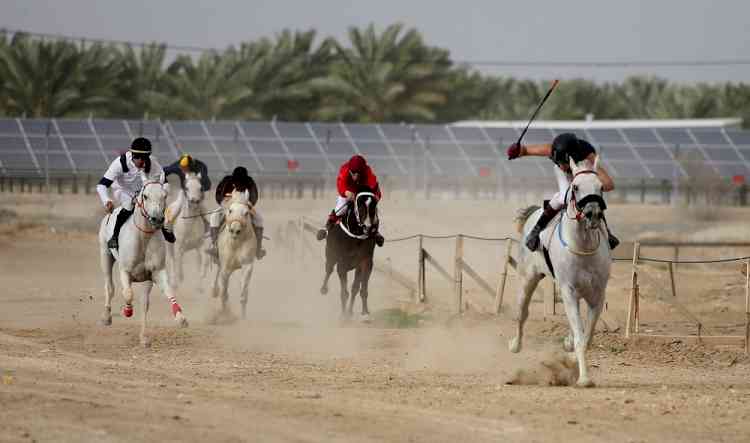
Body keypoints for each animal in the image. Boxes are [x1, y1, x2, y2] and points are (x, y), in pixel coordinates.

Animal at [97, 181, 188, 346]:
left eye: (165, 195)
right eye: (145, 196)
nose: (157, 219)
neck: (143, 238)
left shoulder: (154, 273)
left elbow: (163, 294)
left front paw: (180, 318)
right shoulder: (125, 270)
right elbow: (127, 293)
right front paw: (127, 310)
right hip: (105, 255)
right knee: (109, 287)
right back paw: (106, 317)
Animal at [212, 189, 258, 320]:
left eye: (246, 213)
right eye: (230, 210)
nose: (235, 230)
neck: (236, 243)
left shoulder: (247, 265)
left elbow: (243, 293)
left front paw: (243, 317)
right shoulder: (225, 268)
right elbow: (224, 293)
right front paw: (224, 314)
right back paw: (215, 290)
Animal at [322, 187, 382, 320]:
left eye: (374, 205)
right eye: (359, 204)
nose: (368, 227)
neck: (356, 234)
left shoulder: (365, 262)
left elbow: (360, 289)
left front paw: (364, 312)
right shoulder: (342, 264)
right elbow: (344, 292)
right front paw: (344, 316)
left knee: (355, 287)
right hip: (330, 254)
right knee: (329, 269)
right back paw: (323, 288)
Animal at [508, 157, 612, 388]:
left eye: (600, 187)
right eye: (575, 187)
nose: (593, 213)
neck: (582, 248)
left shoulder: (597, 295)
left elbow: (587, 335)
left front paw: (572, 357)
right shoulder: (568, 291)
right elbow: (581, 335)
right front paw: (584, 379)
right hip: (528, 278)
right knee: (521, 313)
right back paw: (515, 344)